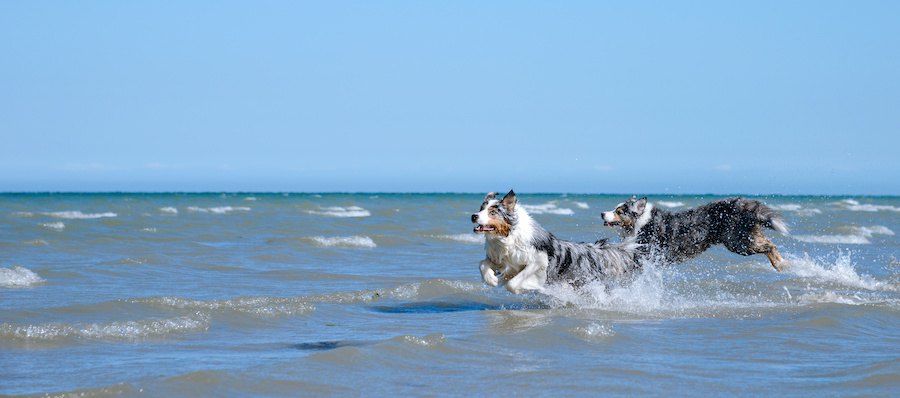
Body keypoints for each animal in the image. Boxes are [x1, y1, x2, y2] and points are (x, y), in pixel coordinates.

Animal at [472, 190, 640, 292]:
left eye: (493, 212)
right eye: (481, 208)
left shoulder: (539, 261)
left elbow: (513, 284)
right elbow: (482, 264)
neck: (507, 236)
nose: (473, 216)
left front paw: (525, 287)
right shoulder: (502, 259)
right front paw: (492, 279)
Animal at [604, 198, 788, 272]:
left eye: (619, 211)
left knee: (770, 245)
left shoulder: (649, 252)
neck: (641, 222)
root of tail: (741, 205)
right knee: (767, 242)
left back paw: (780, 264)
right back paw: (782, 263)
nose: (601, 214)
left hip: (738, 243)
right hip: (743, 239)